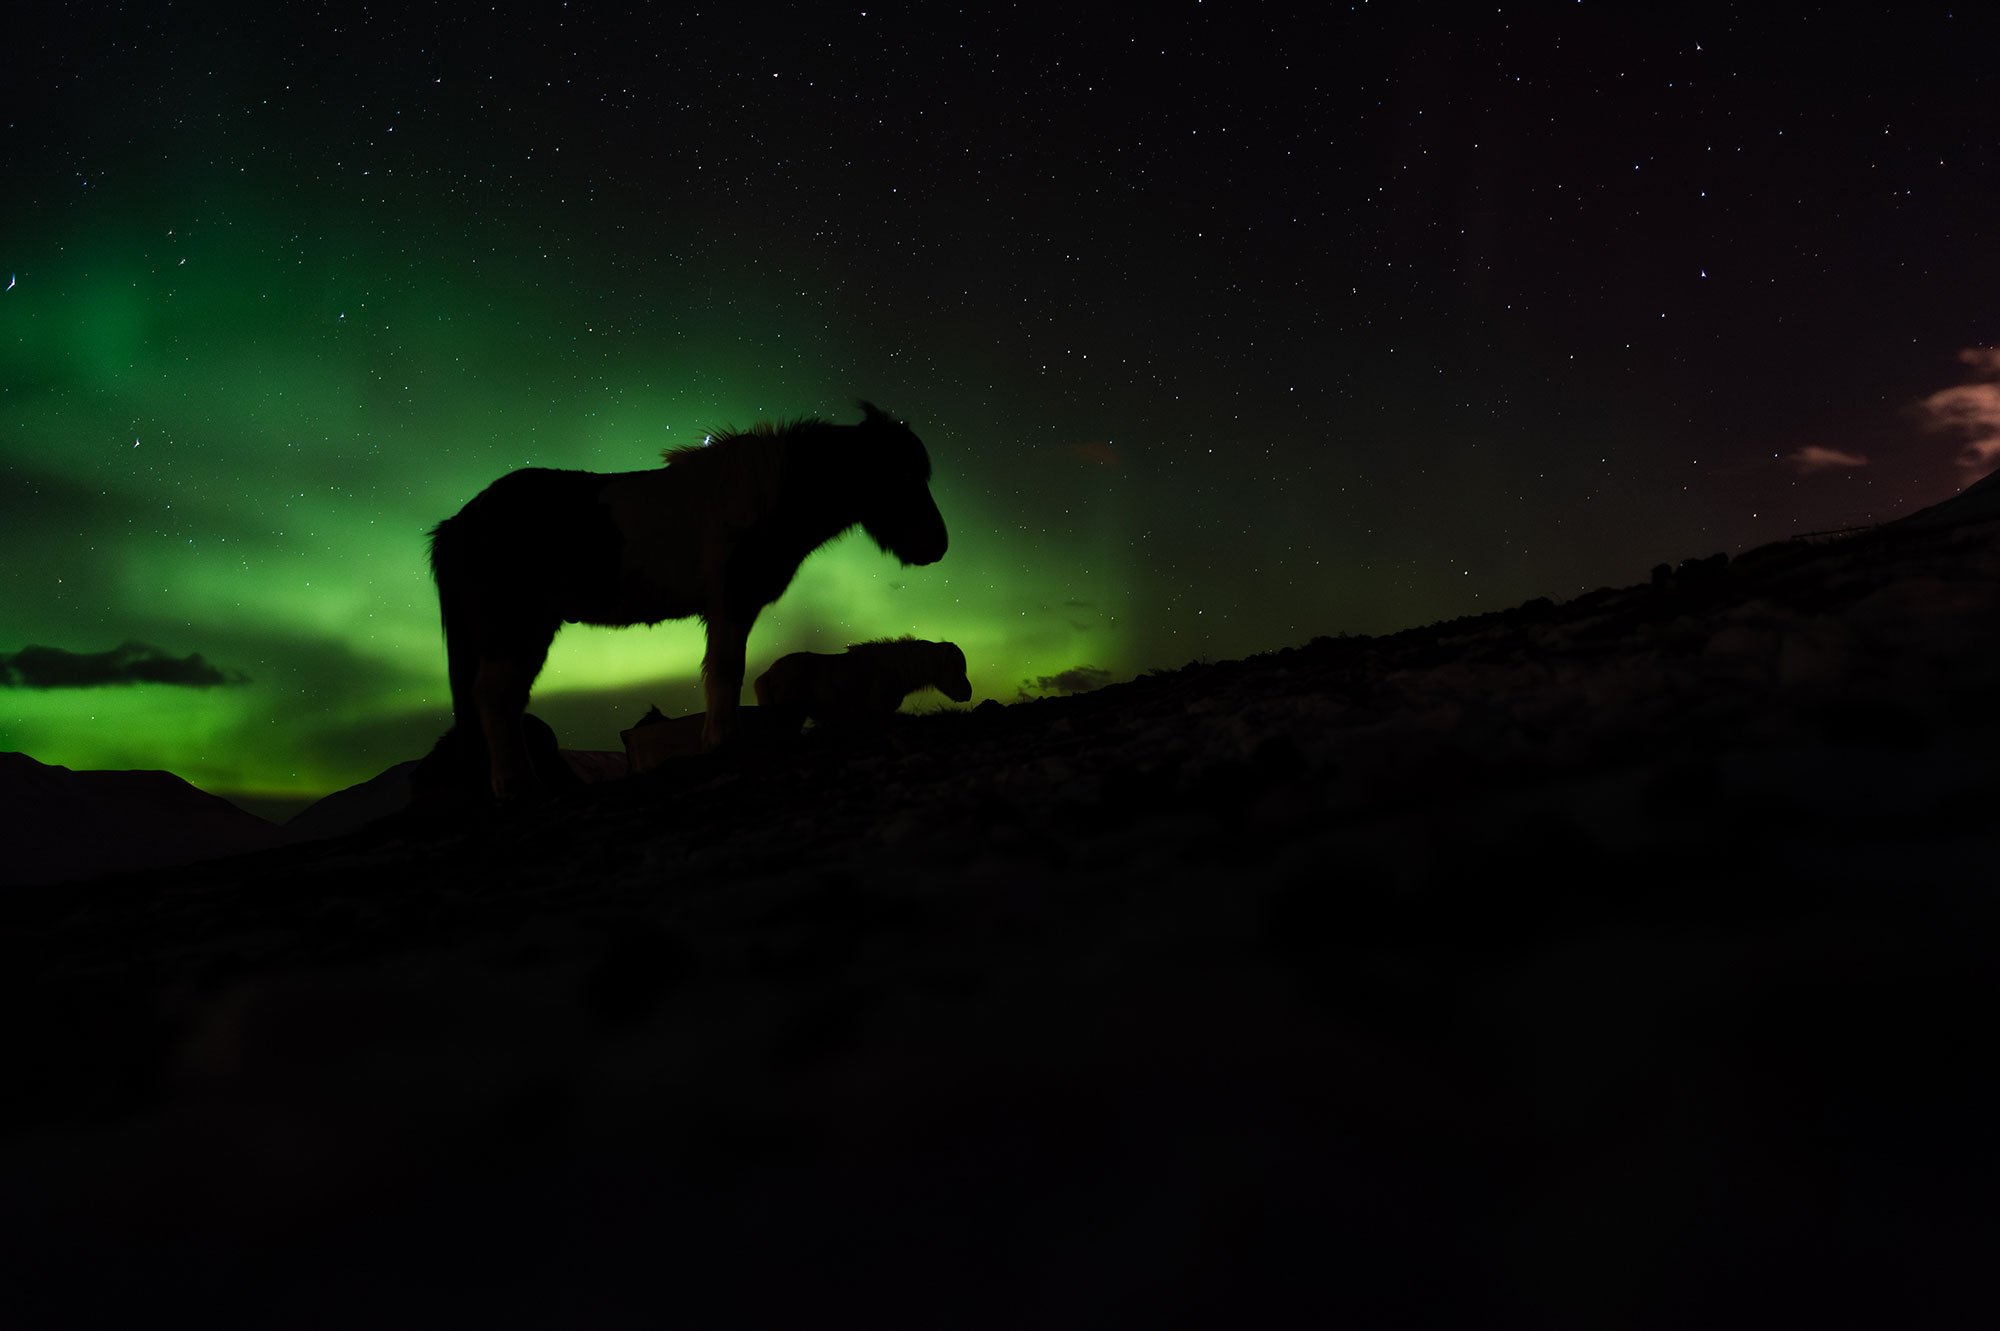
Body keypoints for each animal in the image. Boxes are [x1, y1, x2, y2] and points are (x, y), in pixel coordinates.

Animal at [429, 402, 948, 798]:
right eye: (900, 472)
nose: (938, 546)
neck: (758, 500)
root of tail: (459, 523)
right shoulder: (732, 605)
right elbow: (725, 672)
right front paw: (722, 743)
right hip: (516, 629)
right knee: (494, 697)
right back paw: (518, 785)